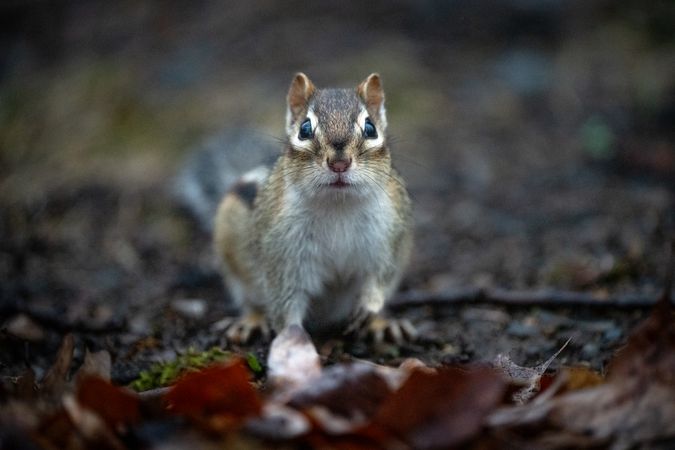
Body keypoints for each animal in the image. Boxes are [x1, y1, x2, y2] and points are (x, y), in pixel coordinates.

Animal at [207, 73, 415, 344]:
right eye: (305, 129)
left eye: (370, 128)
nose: (339, 163)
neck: (338, 205)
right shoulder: (284, 255)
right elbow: (284, 302)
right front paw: (291, 342)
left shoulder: (389, 242)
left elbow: (380, 279)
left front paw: (371, 308)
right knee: (249, 300)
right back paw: (251, 320)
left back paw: (382, 323)